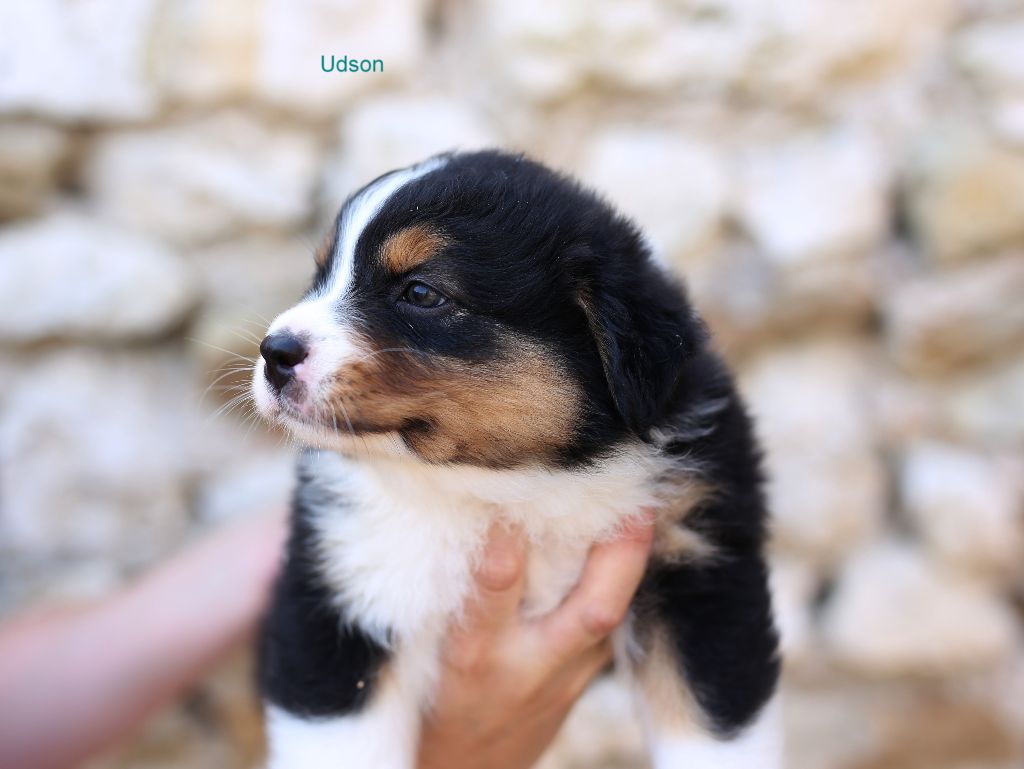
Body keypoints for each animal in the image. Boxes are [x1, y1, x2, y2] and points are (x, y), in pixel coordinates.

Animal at [252, 150, 781, 768]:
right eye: (319, 277)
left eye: (421, 292)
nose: (274, 352)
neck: (516, 484)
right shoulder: (343, 589)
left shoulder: (704, 571)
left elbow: (713, 731)